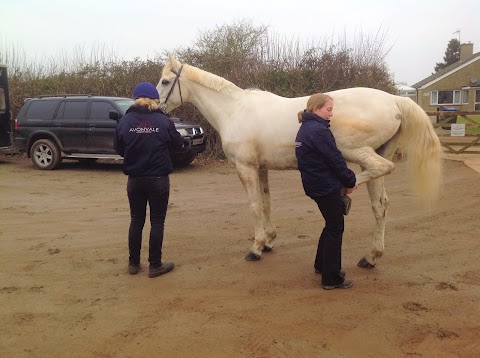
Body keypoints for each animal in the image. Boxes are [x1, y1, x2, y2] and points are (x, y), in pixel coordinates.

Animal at [158, 56, 442, 268]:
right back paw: (371, 256)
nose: (156, 108)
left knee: (380, 169)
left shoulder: (245, 168)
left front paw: (256, 247)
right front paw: (269, 241)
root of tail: (394, 99)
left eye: (165, 81)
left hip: (354, 151)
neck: (234, 110)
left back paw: (343, 195)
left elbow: (254, 206)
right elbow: (267, 203)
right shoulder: (261, 168)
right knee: (380, 205)